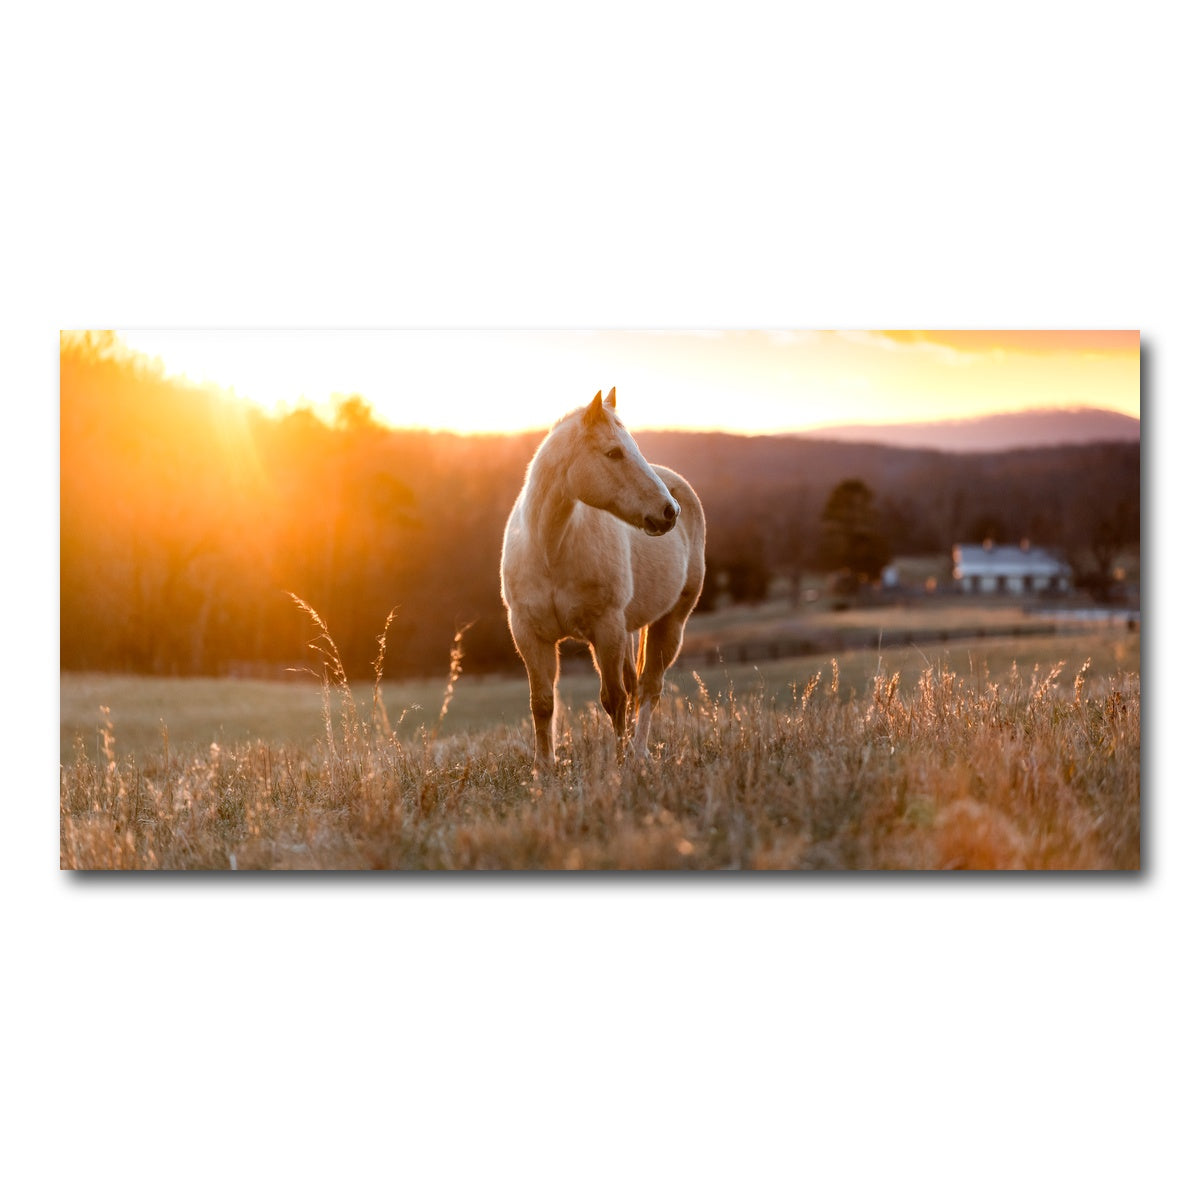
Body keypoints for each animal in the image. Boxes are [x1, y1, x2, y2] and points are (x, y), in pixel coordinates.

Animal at [500, 388, 706, 771]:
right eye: (614, 452)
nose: (669, 512)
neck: (551, 549)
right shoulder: (529, 634)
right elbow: (543, 702)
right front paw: (543, 768)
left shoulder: (605, 629)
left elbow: (614, 698)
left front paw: (619, 764)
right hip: (628, 629)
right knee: (637, 684)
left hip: (669, 623)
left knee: (649, 688)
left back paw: (639, 753)